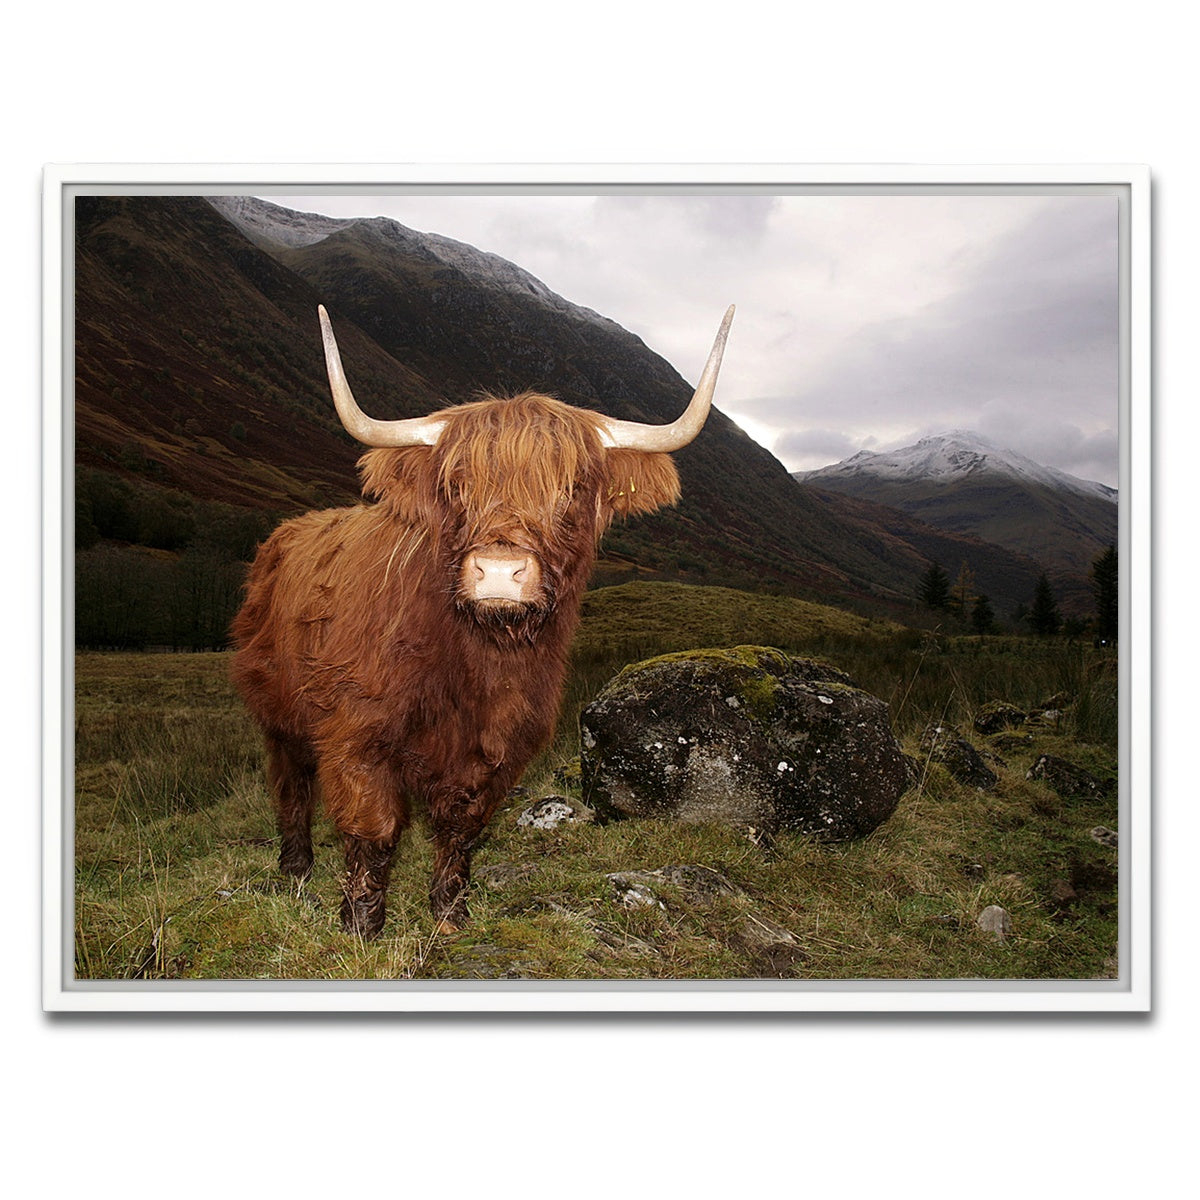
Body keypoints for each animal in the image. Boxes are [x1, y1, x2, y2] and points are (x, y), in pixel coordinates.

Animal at [231, 303, 734, 938]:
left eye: (571, 488)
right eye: (455, 485)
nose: (498, 571)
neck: (478, 662)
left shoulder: (502, 744)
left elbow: (462, 828)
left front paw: (449, 914)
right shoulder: (356, 730)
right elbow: (372, 829)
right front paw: (360, 925)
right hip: (278, 711)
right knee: (291, 786)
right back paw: (295, 869)